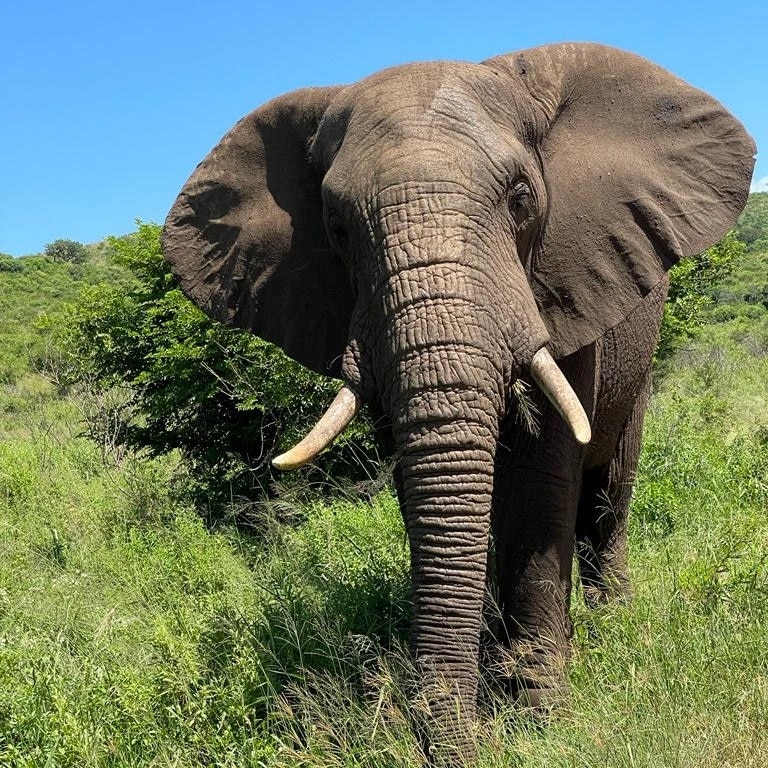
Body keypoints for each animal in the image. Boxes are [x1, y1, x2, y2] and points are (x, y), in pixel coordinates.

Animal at [163, 43, 754, 761]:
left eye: (522, 197)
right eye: (336, 227)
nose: (452, 741)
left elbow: (539, 481)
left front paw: (538, 716)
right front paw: (500, 693)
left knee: (608, 493)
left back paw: (613, 631)